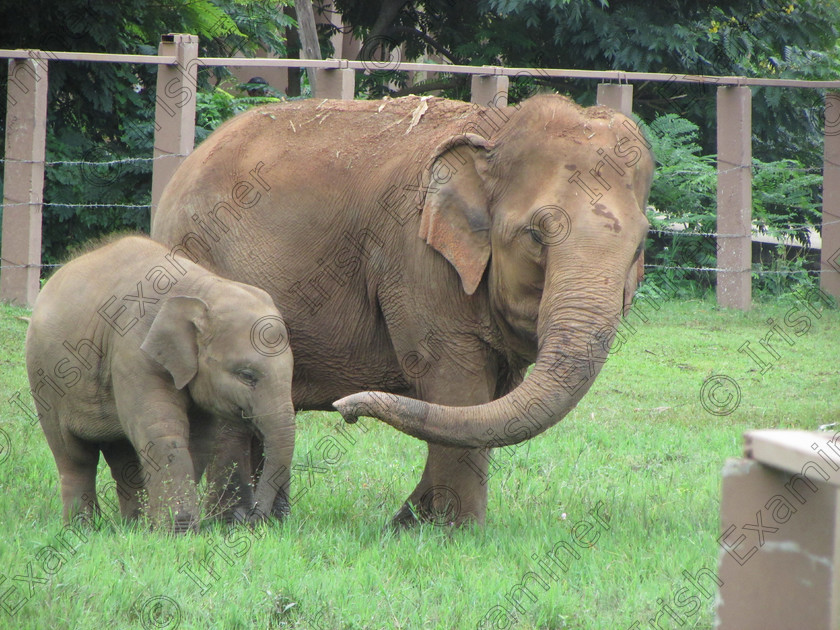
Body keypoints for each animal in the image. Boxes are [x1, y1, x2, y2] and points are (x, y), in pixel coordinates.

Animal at [25, 237, 296, 532]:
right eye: (247, 375)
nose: (254, 519)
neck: (203, 289)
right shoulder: (134, 351)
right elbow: (162, 430)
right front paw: (179, 531)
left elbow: (198, 438)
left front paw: (163, 528)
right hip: (45, 379)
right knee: (74, 456)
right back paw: (81, 528)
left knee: (123, 458)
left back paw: (134, 526)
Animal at [151, 94, 652, 528]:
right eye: (536, 235)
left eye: (640, 246)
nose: (347, 410)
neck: (497, 130)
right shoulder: (414, 258)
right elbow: (456, 384)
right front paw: (453, 532)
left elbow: (491, 401)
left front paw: (416, 524)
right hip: (204, 260)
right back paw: (236, 522)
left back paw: (270, 520)